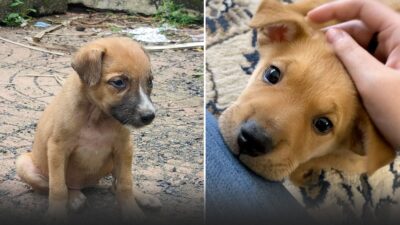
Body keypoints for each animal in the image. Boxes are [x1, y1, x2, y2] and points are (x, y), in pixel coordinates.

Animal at [14, 37, 161, 221]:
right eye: (119, 82)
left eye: (150, 82)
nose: (149, 116)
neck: (96, 116)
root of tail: (88, 184)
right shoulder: (57, 149)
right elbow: (58, 188)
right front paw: (56, 215)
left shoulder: (124, 148)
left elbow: (125, 184)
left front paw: (132, 212)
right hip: (24, 165)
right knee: (62, 186)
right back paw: (75, 198)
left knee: (115, 184)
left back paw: (144, 198)